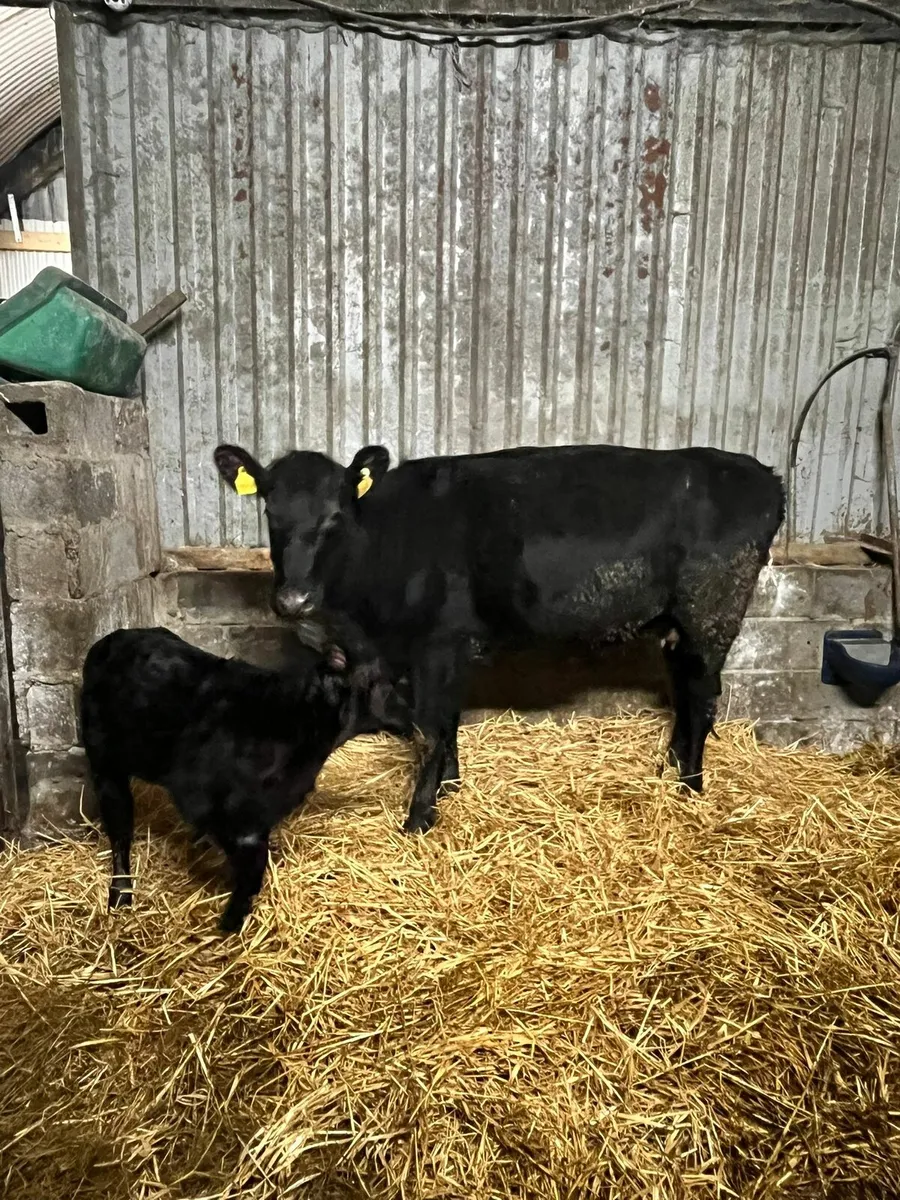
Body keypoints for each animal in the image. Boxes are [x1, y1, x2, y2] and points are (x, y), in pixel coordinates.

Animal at [81, 625, 410, 932]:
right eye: (388, 682)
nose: (413, 715)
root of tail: (112, 639)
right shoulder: (231, 814)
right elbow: (251, 872)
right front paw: (231, 922)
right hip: (104, 764)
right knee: (120, 829)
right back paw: (121, 893)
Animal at [214, 442, 785, 835]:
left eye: (335, 516)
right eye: (270, 512)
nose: (293, 600)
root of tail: (761, 474)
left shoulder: (437, 646)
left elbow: (431, 728)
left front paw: (420, 817)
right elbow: (447, 725)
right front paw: (450, 786)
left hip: (710, 616)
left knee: (703, 699)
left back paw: (690, 787)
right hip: (677, 626)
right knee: (685, 695)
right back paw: (670, 769)